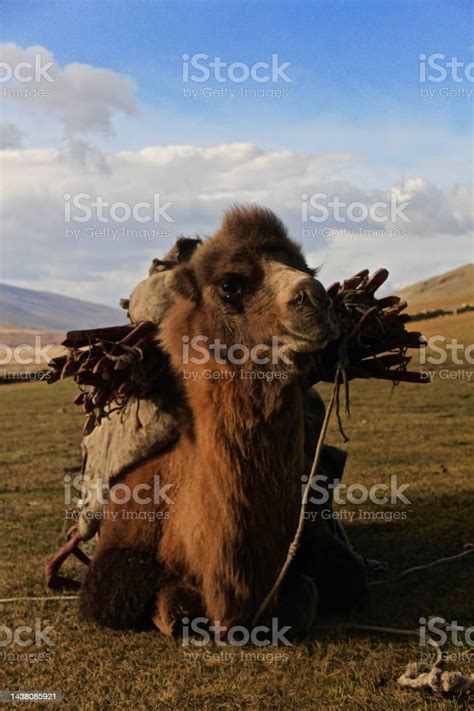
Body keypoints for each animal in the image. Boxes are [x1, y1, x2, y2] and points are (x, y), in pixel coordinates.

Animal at [78, 206, 366, 636]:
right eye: (231, 284)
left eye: (305, 267)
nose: (316, 298)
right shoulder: (115, 559)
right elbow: (146, 602)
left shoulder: (325, 550)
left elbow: (332, 585)